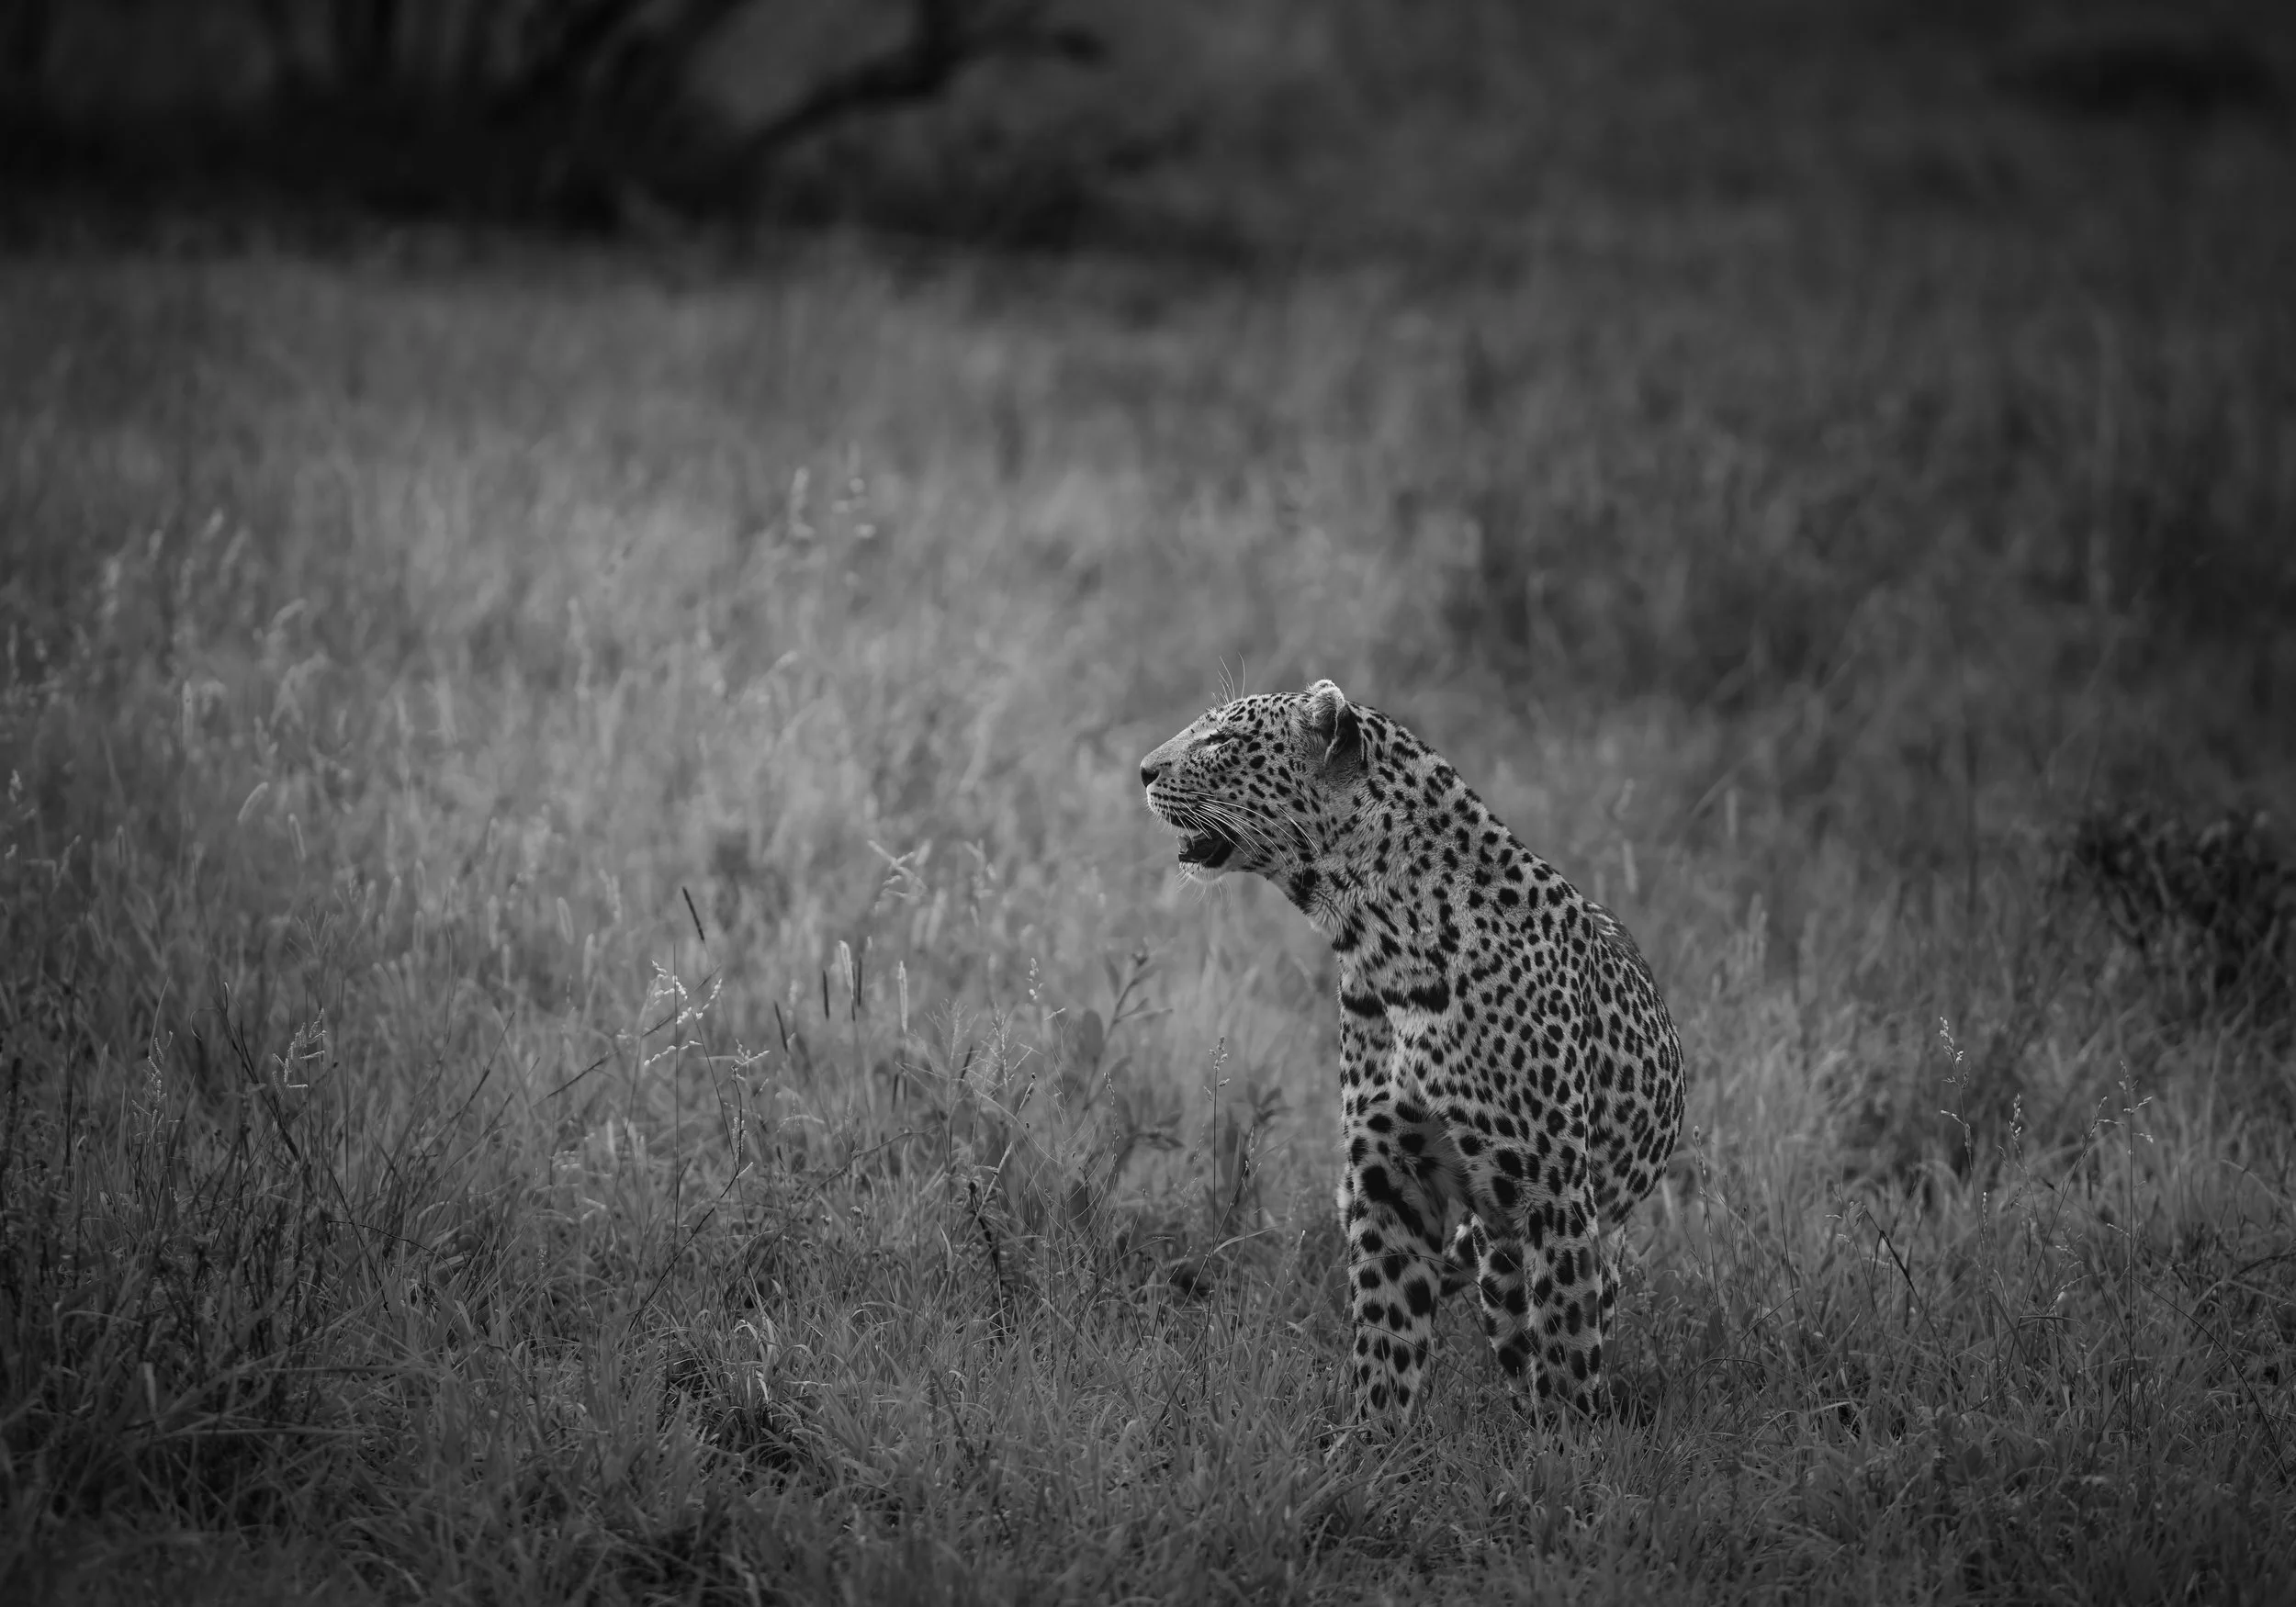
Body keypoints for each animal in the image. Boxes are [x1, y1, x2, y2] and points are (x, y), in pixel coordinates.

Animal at [1140, 679, 1684, 1426]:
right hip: (1496, 1259)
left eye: (1221, 740)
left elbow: (1569, 1347)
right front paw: (1371, 1439)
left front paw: (1572, 1444)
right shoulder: (1390, 1177)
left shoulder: (1552, 1195)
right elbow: (1387, 1333)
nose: (1142, 770)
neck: (1380, 943)